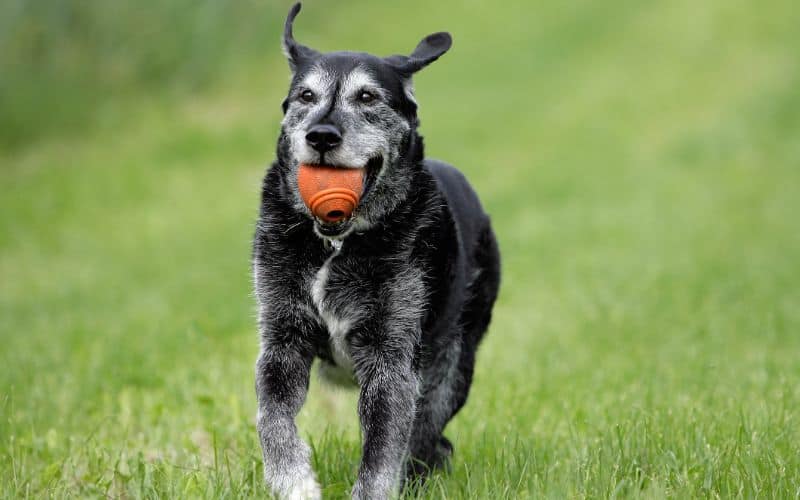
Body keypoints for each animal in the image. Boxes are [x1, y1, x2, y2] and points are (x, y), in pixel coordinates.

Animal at [252, 2, 500, 496]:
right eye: (305, 95)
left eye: (367, 97)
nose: (322, 136)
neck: (335, 243)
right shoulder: (281, 339)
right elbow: (272, 418)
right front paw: (295, 483)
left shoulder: (392, 358)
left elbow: (384, 448)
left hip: (454, 363)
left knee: (428, 434)